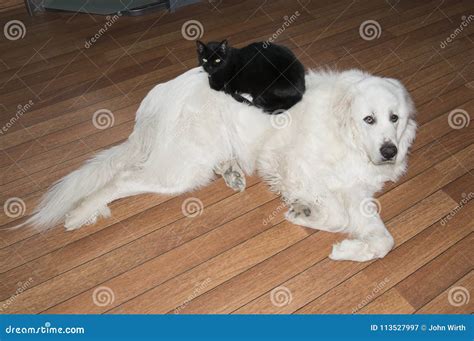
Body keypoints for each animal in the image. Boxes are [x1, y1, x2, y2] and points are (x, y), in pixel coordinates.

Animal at [21, 67, 414, 262]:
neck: (346, 133)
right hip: (182, 170)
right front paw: (303, 213)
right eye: (368, 119)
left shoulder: (356, 191)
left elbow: (384, 239)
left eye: (394, 118)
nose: (390, 151)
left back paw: (231, 172)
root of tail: (161, 95)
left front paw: (351, 248)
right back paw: (79, 214)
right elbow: (335, 215)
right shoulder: (296, 166)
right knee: (120, 180)